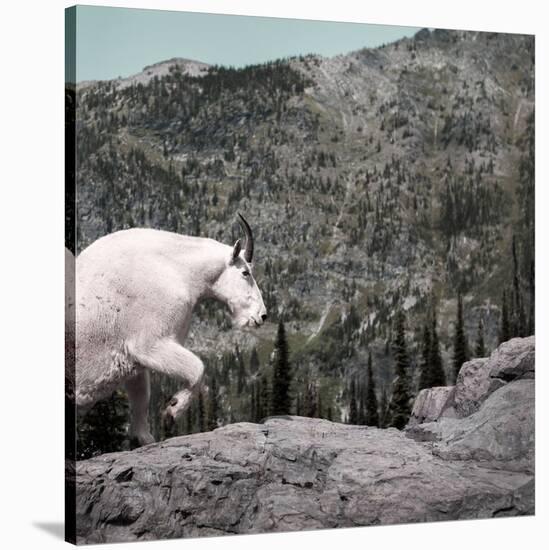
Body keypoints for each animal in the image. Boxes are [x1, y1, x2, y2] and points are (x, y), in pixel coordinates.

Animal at [74, 216, 266, 448]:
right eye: (245, 273)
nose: (262, 316)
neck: (178, 270)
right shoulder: (150, 343)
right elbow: (197, 368)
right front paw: (172, 411)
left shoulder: (133, 361)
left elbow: (141, 398)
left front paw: (143, 439)